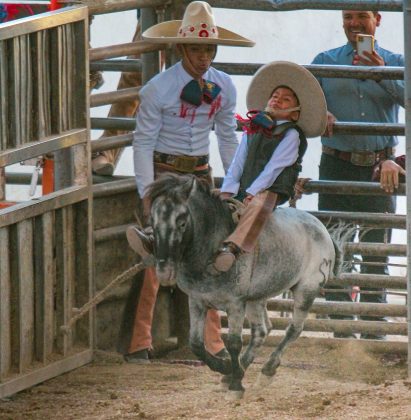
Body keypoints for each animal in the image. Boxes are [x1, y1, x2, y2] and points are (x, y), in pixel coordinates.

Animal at [146, 172, 342, 398]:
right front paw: (226, 369)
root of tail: (323, 230)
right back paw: (236, 371)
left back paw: (266, 371)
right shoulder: (197, 301)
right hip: (256, 298)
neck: (213, 250)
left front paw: (235, 385)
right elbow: (195, 343)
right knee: (261, 331)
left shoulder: (235, 303)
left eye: (182, 222)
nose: (164, 270)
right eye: (153, 222)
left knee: (293, 330)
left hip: (307, 289)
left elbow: (233, 343)